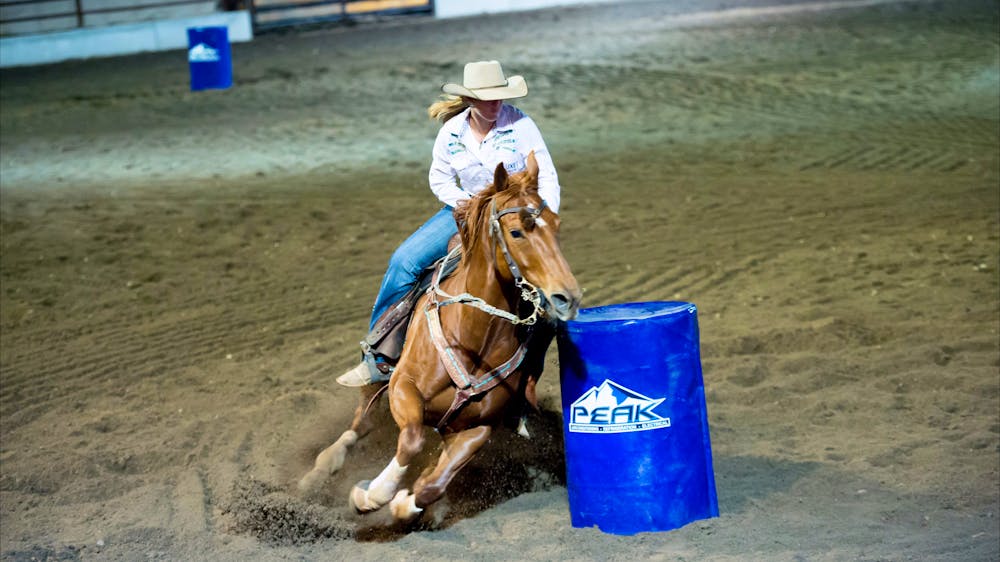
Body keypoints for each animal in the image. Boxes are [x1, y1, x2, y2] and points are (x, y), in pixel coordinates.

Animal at [296, 151, 584, 524]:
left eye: (557, 225)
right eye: (516, 231)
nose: (568, 297)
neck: (475, 336)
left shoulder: (478, 428)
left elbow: (433, 484)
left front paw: (407, 500)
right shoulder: (404, 387)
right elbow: (412, 439)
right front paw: (371, 494)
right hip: (379, 380)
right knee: (360, 423)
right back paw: (319, 471)